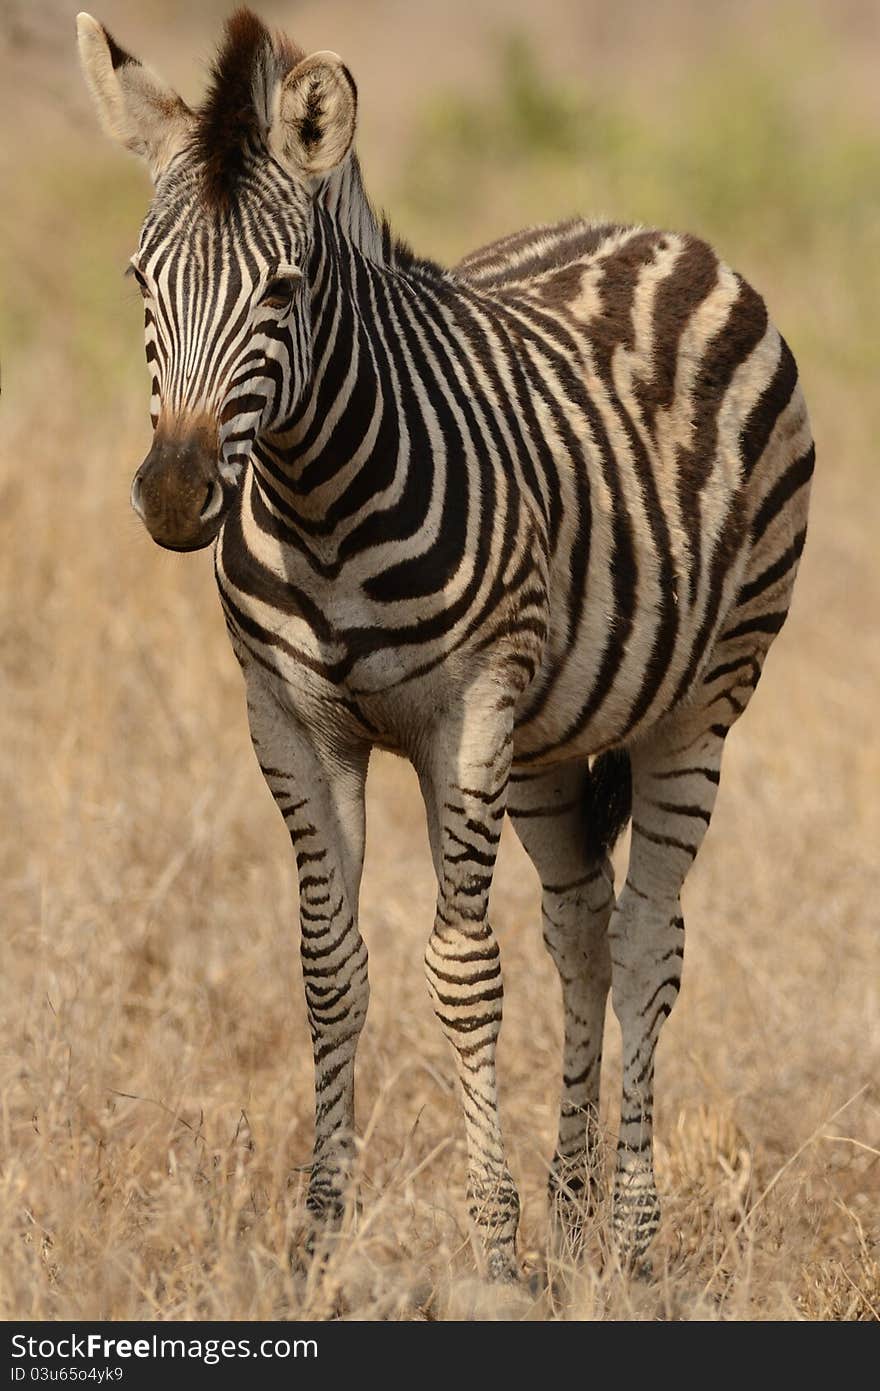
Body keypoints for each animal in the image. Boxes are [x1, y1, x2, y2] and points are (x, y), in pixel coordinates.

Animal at [78, 8, 811, 1279]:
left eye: (283, 287)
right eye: (139, 279)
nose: (172, 497)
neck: (316, 499)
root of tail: (652, 233)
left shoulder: (465, 714)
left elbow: (464, 972)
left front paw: (490, 1242)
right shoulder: (289, 721)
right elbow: (328, 968)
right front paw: (320, 1235)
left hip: (698, 706)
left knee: (645, 943)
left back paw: (631, 1236)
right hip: (553, 734)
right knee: (580, 929)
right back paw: (573, 1210)